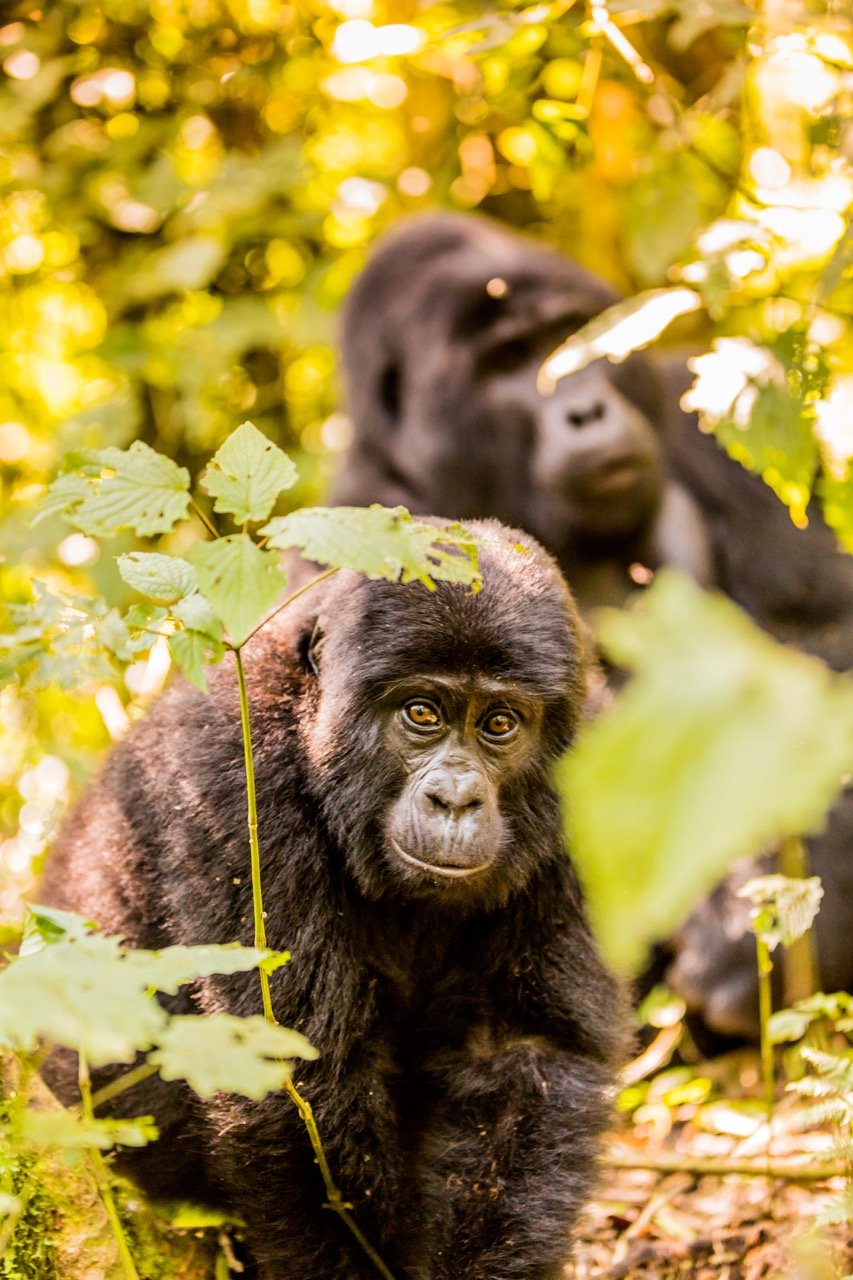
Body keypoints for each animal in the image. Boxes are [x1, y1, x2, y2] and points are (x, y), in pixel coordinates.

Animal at [41, 519, 625, 1280]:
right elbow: (292, 1079)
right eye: (421, 712)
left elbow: (523, 1051)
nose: (455, 799)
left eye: (499, 724)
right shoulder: (233, 780)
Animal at [333, 215, 853, 1039]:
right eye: (509, 363)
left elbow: (824, 636)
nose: (585, 410)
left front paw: (760, 925)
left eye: (571, 340)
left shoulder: (704, 419)